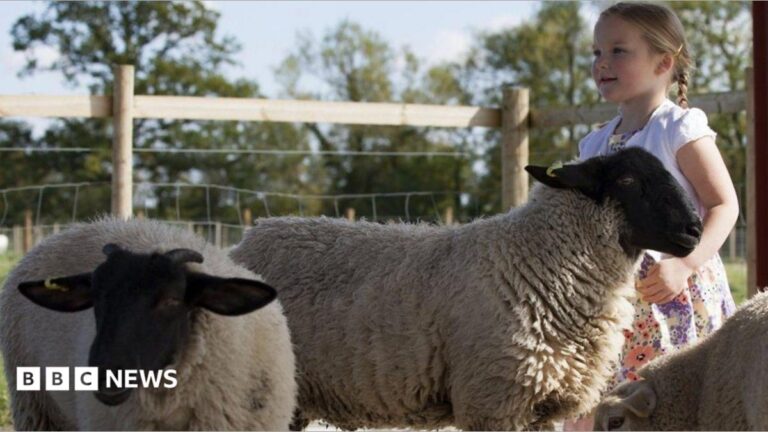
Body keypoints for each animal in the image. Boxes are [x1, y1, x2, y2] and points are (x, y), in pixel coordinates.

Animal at [230, 147, 703, 431]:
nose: (695, 230)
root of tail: (243, 242)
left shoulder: (542, 407)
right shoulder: (493, 400)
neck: (535, 260)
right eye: (627, 181)